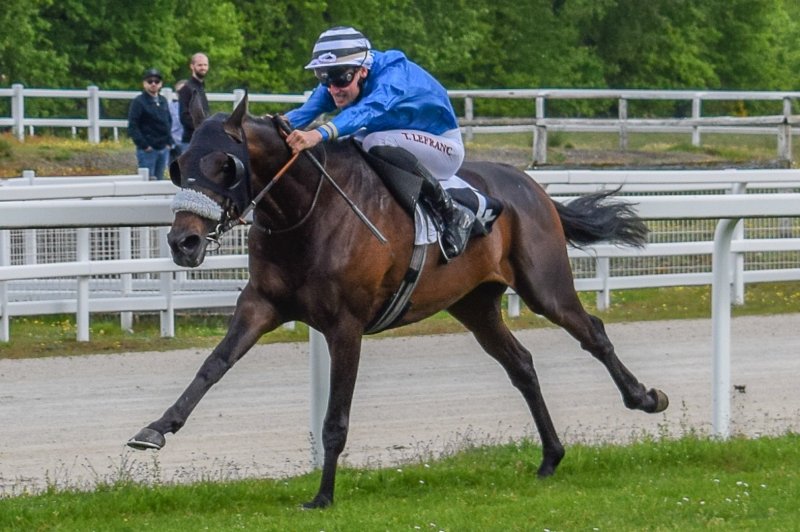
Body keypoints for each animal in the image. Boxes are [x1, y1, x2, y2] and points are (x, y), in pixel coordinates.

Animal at [127, 94, 668, 508]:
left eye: (226, 165)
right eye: (179, 165)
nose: (183, 243)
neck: (307, 212)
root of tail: (533, 186)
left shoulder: (345, 325)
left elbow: (335, 418)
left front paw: (322, 496)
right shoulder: (261, 304)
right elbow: (212, 366)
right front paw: (155, 428)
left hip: (544, 285)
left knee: (592, 332)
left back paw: (644, 397)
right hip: (474, 304)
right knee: (522, 365)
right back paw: (551, 456)